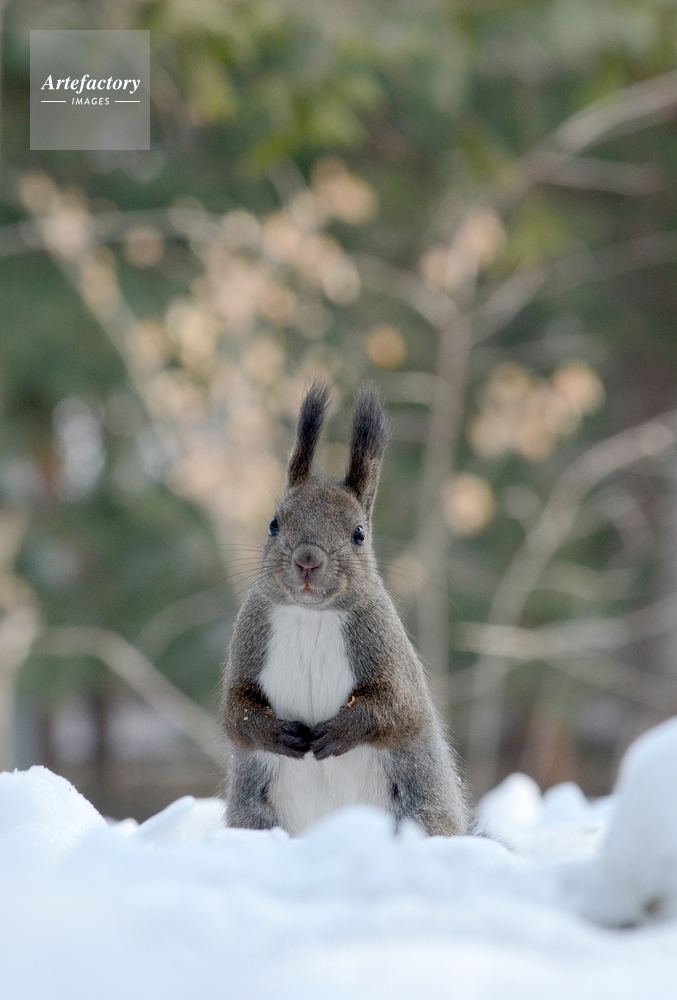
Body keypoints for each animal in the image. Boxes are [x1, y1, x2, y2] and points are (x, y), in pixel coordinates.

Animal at [221, 379, 468, 836]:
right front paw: (280, 735)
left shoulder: (387, 648)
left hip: (421, 809)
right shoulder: (249, 637)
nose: (308, 559)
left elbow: (394, 707)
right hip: (253, 817)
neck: (311, 616)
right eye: (274, 524)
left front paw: (336, 734)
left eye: (359, 533)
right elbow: (236, 713)